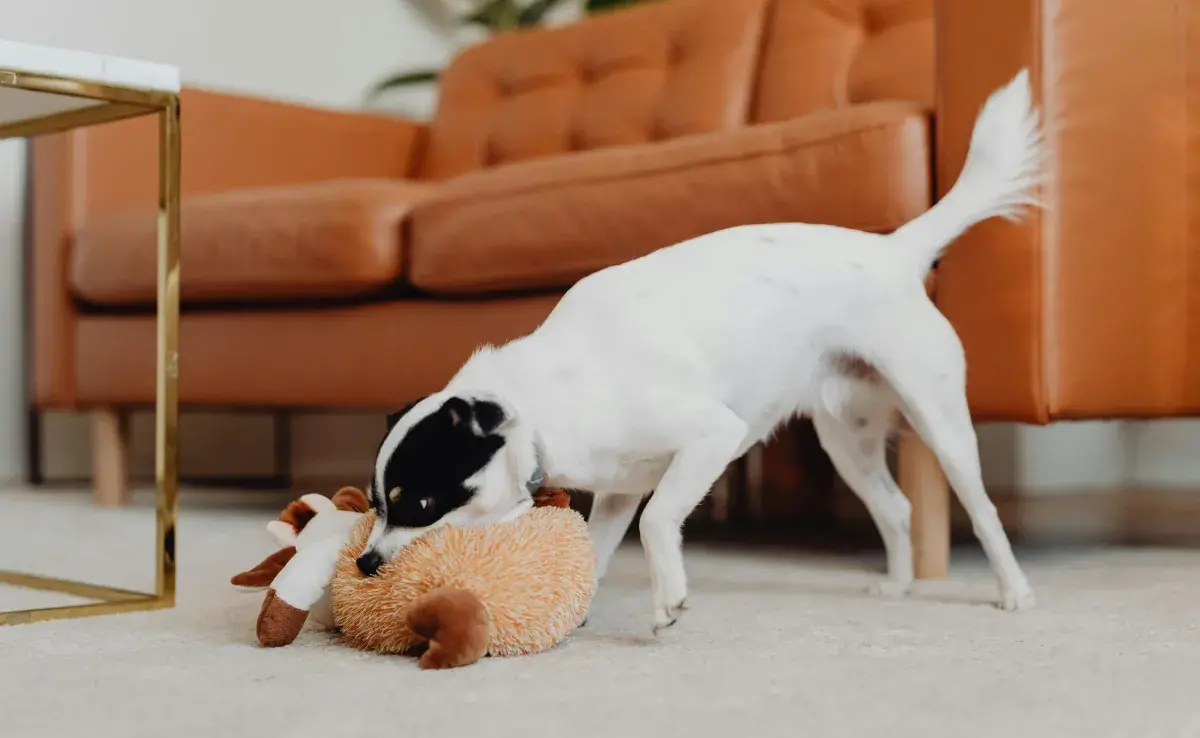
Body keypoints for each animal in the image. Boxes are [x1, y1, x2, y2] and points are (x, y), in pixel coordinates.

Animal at [362, 69, 1041, 633]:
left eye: (419, 504)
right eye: (374, 504)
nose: (367, 562)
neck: (545, 401)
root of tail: (893, 250)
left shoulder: (710, 436)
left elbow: (658, 520)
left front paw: (667, 600)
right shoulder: (619, 488)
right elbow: (597, 548)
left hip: (938, 418)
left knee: (982, 510)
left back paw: (1014, 592)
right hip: (847, 438)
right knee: (896, 508)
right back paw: (900, 586)